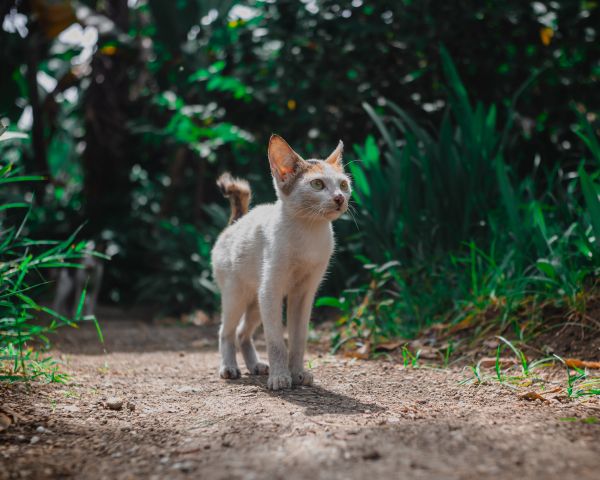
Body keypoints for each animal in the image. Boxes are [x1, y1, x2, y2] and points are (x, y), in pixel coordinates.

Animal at [212, 134, 350, 390]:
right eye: (317, 184)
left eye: (344, 185)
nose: (339, 198)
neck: (309, 232)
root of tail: (237, 221)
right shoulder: (271, 291)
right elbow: (276, 340)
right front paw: (280, 377)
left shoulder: (304, 294)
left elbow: (298, 339)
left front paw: (297, 373)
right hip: (237, 295)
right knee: (226, 331)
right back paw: (229, 367)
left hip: (256, 302)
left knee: (242, 333)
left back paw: (255, 365)